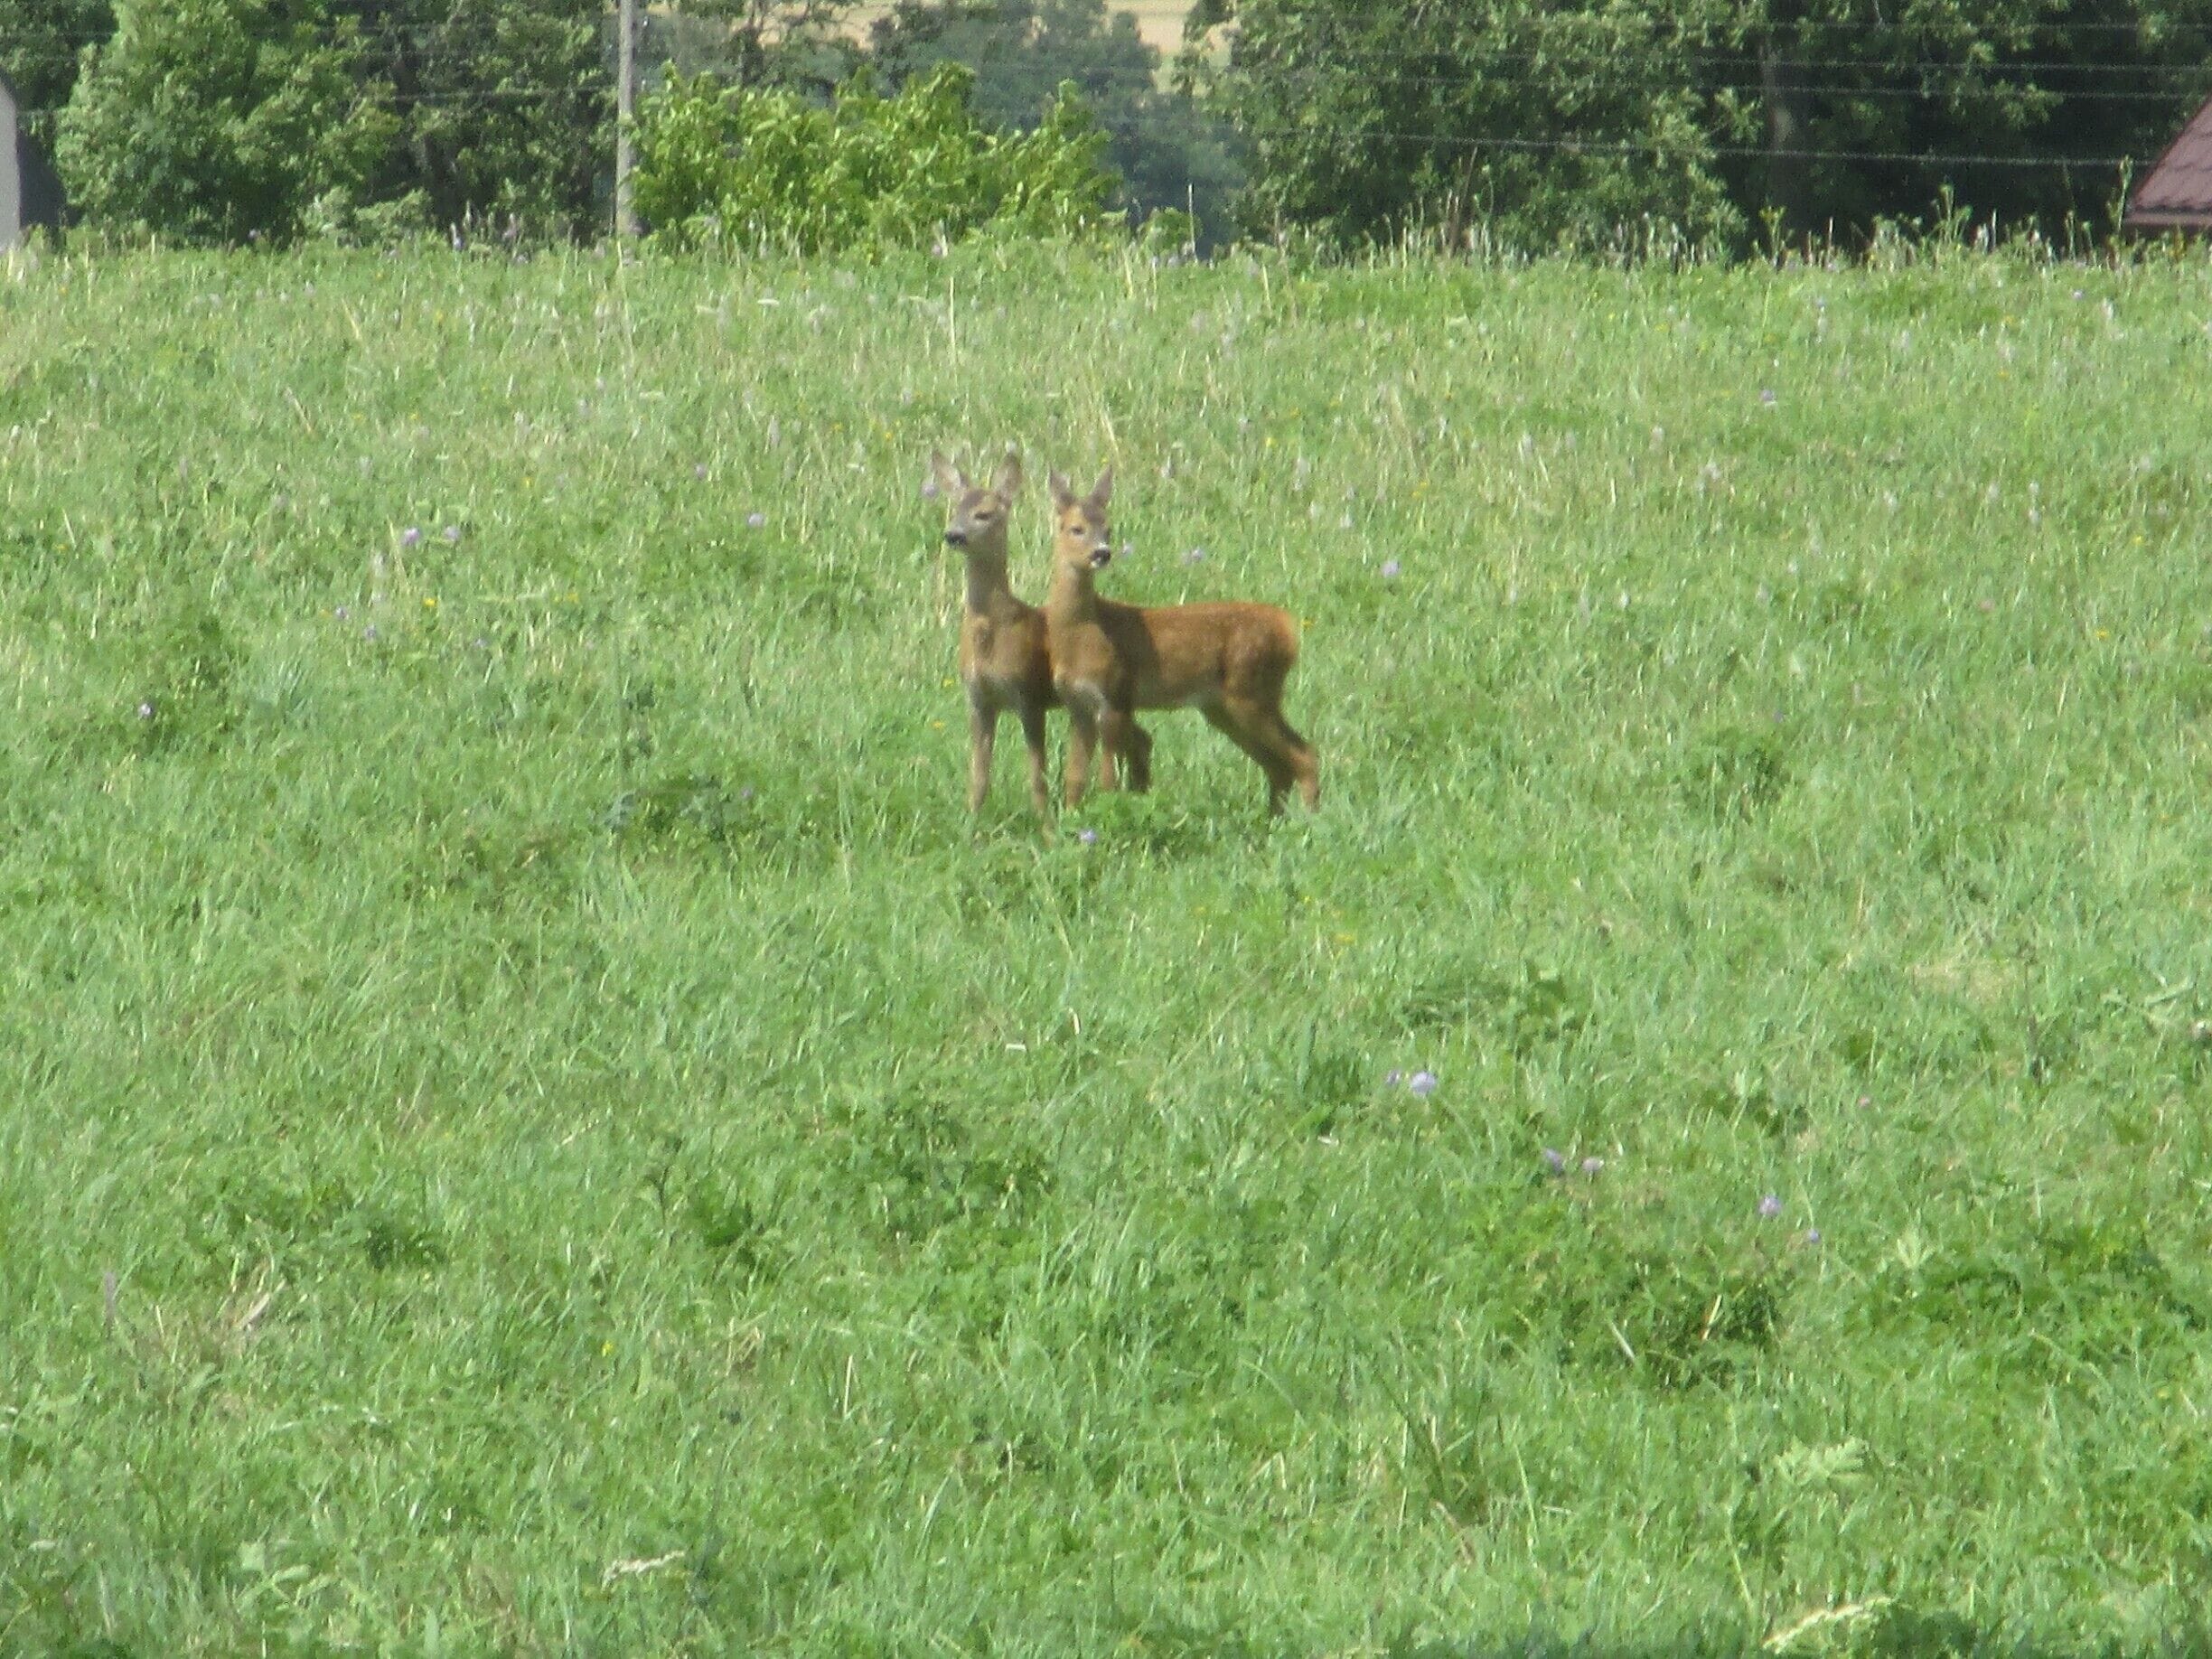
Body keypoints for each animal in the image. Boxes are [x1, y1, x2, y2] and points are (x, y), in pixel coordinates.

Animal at [931, 448, 1151, 826]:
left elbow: (1037, 774)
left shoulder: (1028, 694)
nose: (953, 535)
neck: (994, 632)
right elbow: (979, 776)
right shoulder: (977, 699)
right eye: (955, 509)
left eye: (984, 513)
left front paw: (1044, 826)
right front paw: (971, 824)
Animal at [1042, 467, 1320, 816]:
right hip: (1221, 705)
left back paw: (1307, 820)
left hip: (1253, 691)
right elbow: (1075, 777)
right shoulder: (1077, 704)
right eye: (1076, 528)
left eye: (1109, 528)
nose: (1102, 554)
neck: (1083, 634)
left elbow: (1107, 778)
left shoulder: (1118, 694)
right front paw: (1070, 818)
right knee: (1279, 764)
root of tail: (1288, 629)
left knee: (1304, 755)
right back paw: (1274, 821)